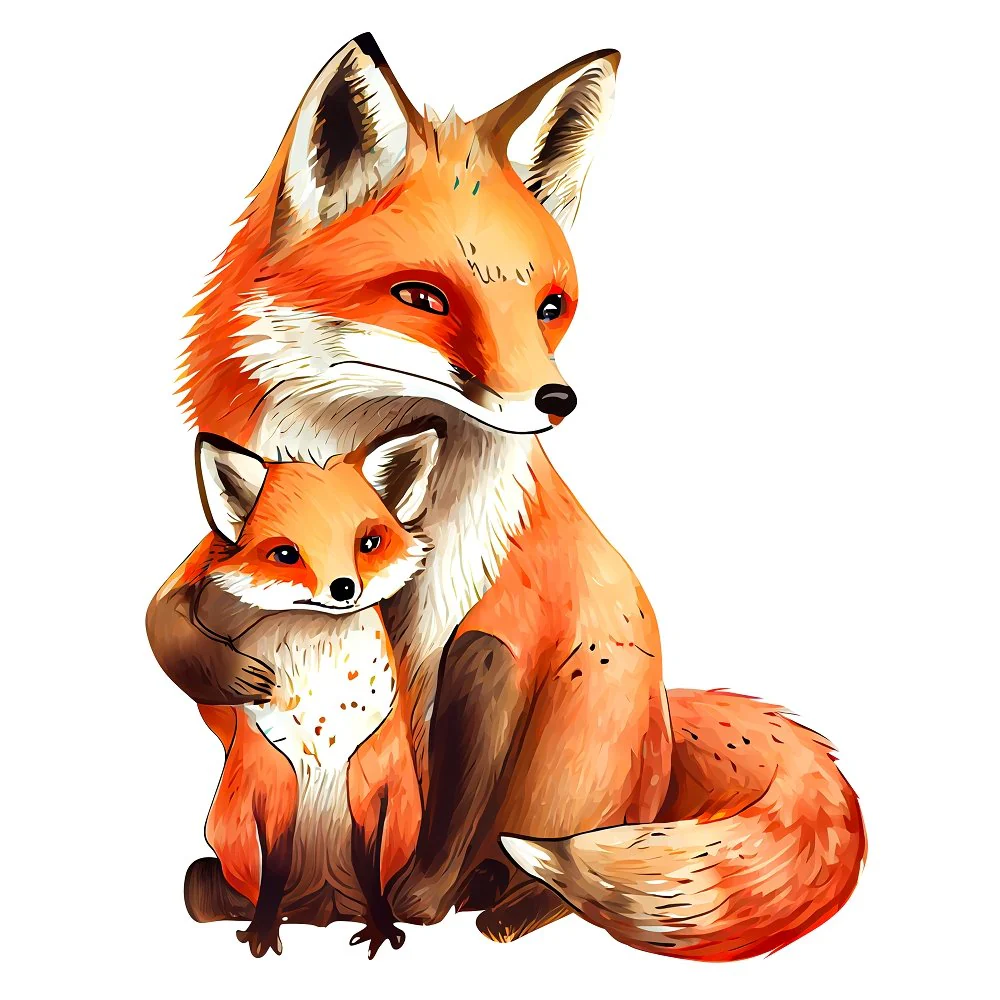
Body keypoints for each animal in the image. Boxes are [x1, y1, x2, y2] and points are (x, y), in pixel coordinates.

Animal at [147, 425, 443, 956]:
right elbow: (277, 868)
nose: (344, 588)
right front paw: (263, 931)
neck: (324, 715)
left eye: (369, 542)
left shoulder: (368, 781)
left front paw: (381, 926)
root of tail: (323, 909)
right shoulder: (276, 782)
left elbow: (368, 866)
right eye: (286, 554)